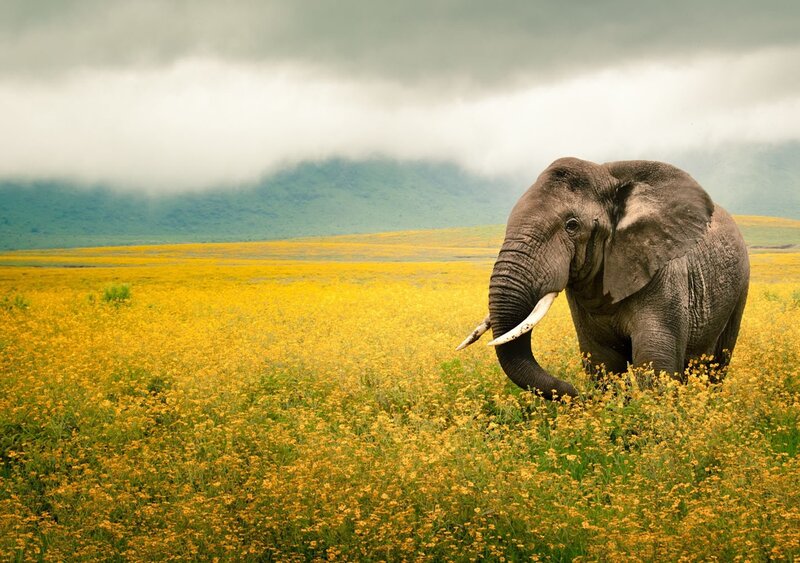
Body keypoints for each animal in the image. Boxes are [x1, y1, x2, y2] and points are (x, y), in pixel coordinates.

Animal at [457, 157, 750, 400]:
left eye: (572, 225)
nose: (575, 393)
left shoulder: (665, 274)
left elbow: (654, 362)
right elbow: (603, 362)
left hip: (740, 288)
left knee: (716, 364)